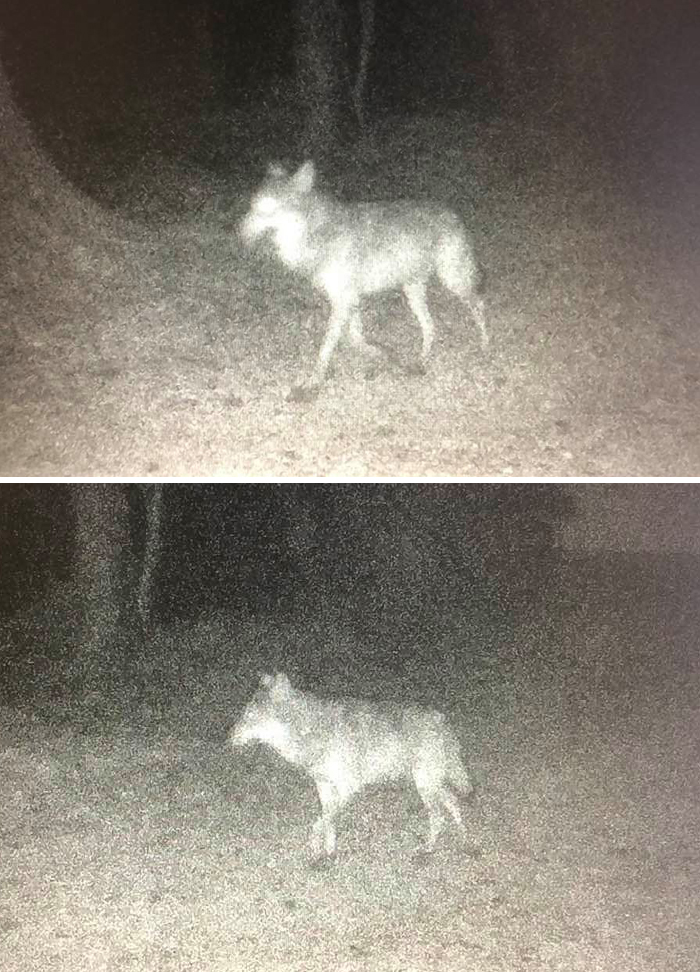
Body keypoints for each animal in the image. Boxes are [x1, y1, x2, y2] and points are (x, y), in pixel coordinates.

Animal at [227, 672, 474, 860]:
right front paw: (329, 852)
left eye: (249, 716)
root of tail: (442, 720)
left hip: (425, 784)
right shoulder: (323, 786)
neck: (309, 729)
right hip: (430, 783)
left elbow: (321, 822)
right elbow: (328, 821)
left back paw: (429, 848)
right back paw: (465, 840)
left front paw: (316, 847)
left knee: (439, 815)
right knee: (453, 803)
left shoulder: (347, 787)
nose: (228, 738)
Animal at [241, 162, 486, 402]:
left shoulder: (343, 300)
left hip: (453, 281)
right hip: (413, 291)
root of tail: (454, 214)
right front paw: (379, 353)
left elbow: (327, 345)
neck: (316, 232)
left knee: (479, 305)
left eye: (268, 209)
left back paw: (485, 346)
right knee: (430, 325)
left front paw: (314, 380)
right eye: (253, 207)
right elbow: (354, 337)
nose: (239, 233)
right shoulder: (351, 298)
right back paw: (421, 361)